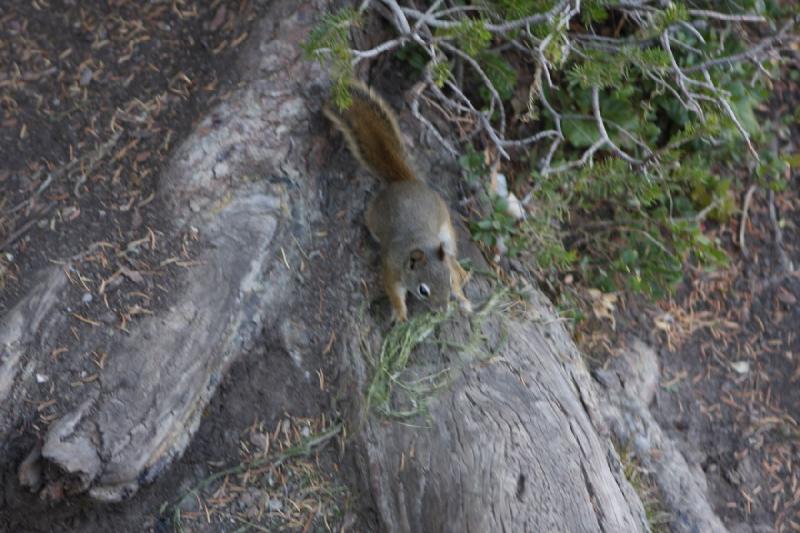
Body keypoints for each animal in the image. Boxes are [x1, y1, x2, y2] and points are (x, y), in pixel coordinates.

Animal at [324, 79, 472, 320]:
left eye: (448, 282)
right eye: (423, 290)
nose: (441, 310)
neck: (418, 244)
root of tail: (401, 182)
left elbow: (454, 277)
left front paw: (463, 299)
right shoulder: (392, 270)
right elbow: (394, 293)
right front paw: (401, 315)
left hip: (446, 230)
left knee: (453, 254)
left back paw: (462, 271)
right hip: (374, 220)